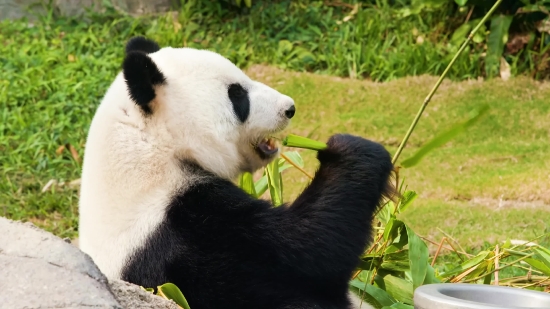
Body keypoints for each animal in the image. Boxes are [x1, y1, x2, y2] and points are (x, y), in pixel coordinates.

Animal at [80, 36, 394, 308]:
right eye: (237, 95)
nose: (289, 108)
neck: (147, 147)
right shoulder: (181, 232)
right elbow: (310, 249)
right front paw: (352, 150)